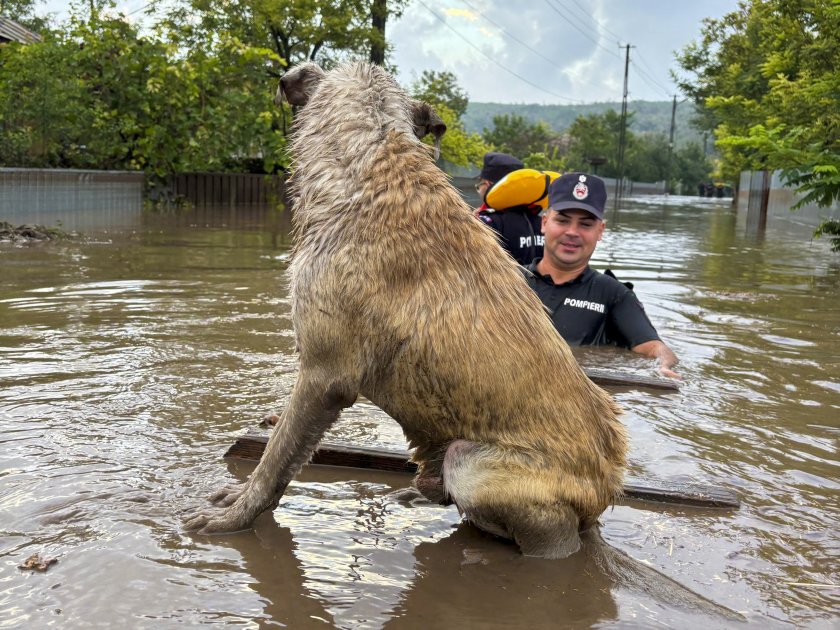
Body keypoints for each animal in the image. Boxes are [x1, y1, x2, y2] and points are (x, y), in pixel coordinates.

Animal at [185, 61, 632, 560]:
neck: (373, 160)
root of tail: (606, 490)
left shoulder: (324, 376)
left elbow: (275, 460)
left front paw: (235, 517)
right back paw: (415, 495)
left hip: (473, 465)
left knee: (549, 533)